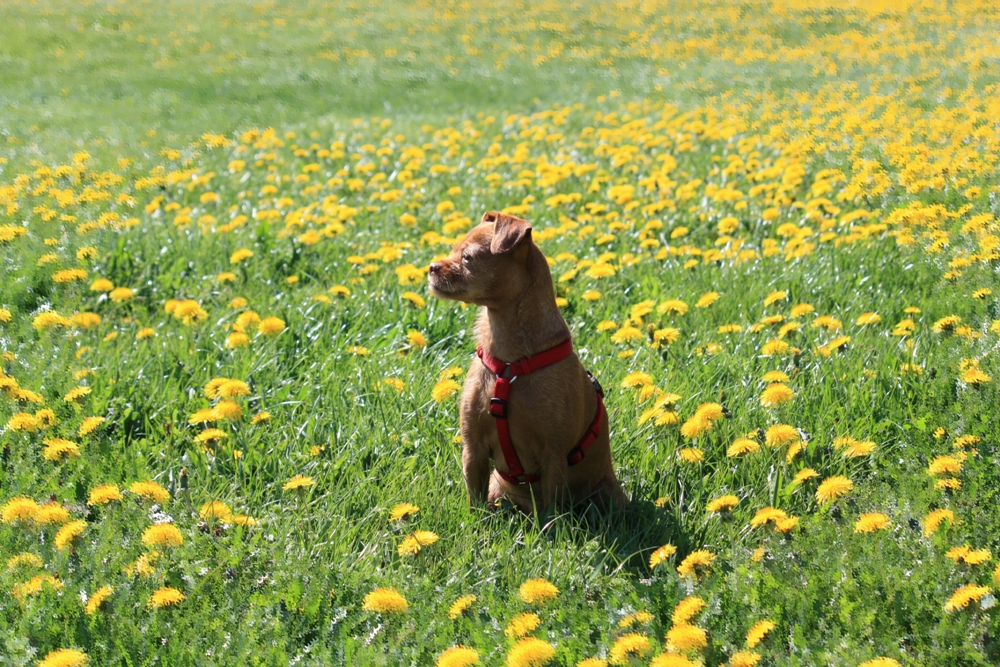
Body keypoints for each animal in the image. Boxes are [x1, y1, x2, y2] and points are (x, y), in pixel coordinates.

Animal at [428, 211, 624, 516]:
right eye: (452, 250)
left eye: (468, 257)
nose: (431, 267)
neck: (510, 362)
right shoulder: (473, 449)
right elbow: (475, 503)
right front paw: (474, 525)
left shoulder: (554, 456)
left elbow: (553, 514)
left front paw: (552, 529)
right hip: (498, 488)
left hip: (605, 494)